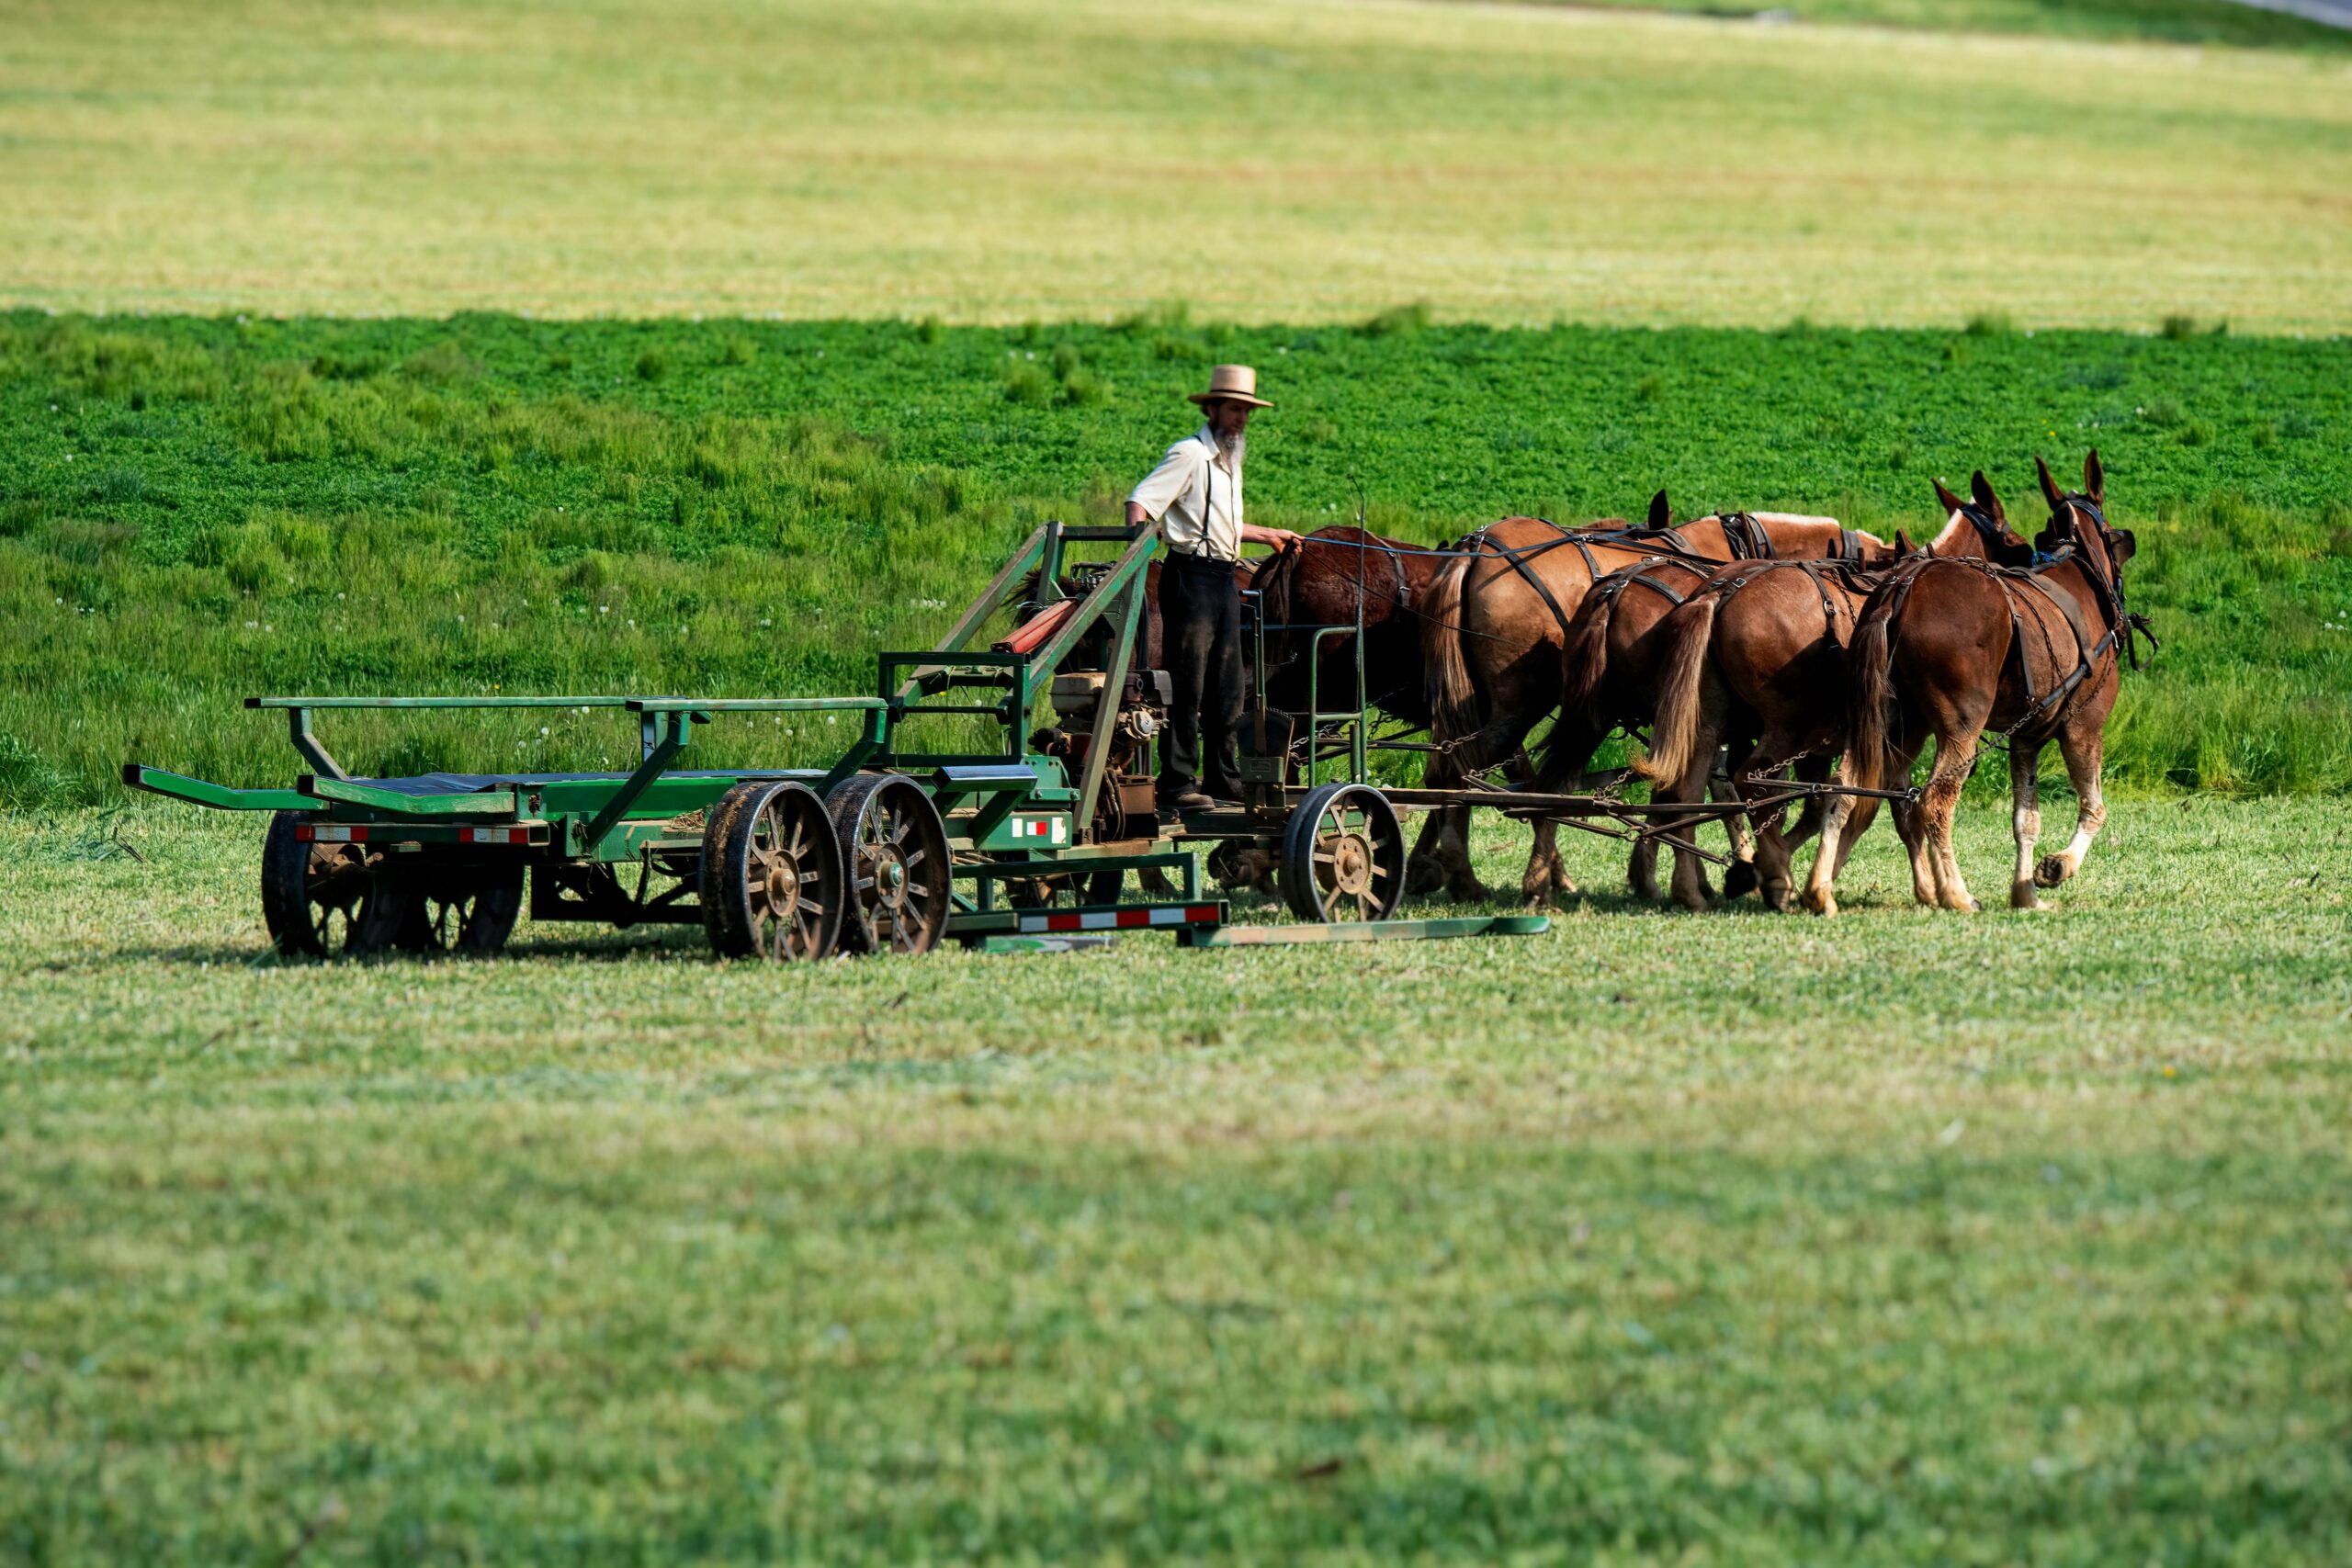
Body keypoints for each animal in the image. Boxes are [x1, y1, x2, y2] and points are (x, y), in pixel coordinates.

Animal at [1416, 492, 1891, 904]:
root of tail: (1475, 546)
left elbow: (1684, 792)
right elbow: (1708, 793)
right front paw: (1733, 868)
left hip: (1505, 706)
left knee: (1465, 770)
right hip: (1523, 701)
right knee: (1470, 771)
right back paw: (1465, 874)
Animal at [1625, 474, 2038, 912]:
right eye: (2017, 544)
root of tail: (1718, 593)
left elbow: (1859, 808)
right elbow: (1878, 808)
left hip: (1709, 720)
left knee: (1685, 787)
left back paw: (1690, 886)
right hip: (1788, 725)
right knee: (1750, 782)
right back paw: (1774, 877)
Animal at [1810, 452, 2146, 916]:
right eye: (2120, 541)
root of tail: (1899, 592)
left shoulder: (2025, 739)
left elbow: (2026, 820)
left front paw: (2025, 892)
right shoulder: (2084, 727)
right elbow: (2094, 808)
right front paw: (2058, 867)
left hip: (1891, 725)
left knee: (1844, 790)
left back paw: (1820, 888)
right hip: (1960, 729)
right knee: (1933, 802)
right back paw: (1955, 893)